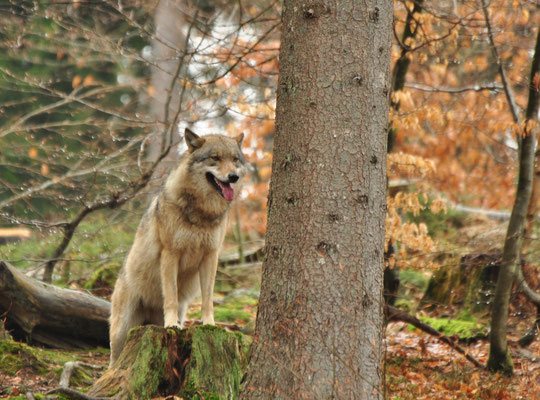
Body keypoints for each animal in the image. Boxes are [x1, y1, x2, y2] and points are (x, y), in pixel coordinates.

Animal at [109, 127, 247, 362]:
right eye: (215, 158)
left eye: (234, 160)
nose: (233, 177)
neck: (202, 213)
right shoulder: (170, 254)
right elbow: (171, 295)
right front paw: (172, 325)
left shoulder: (211, 257)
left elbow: (208, 299)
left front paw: (210, 324)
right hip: (121, 332)